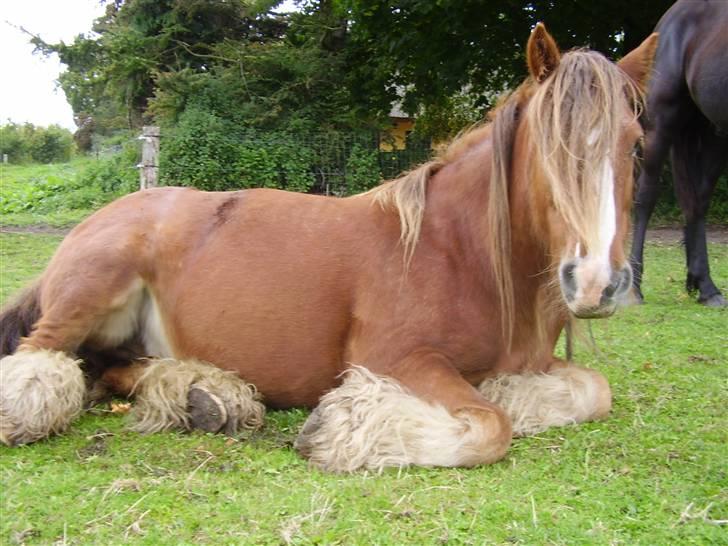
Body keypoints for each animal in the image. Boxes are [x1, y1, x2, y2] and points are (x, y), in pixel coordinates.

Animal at [0, 25, 656, 470]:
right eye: (549, 147)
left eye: (636, 145)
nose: (595, 283)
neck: (459, 250)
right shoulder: (398, 358)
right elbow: (491, 428)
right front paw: (342, 427)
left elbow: (594, 390)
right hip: (91, 289)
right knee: (46, 358)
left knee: (106, 370)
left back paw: (205, 398)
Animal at [632, 0, 728, 306]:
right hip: (662, 125)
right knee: (646, 197)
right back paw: (634, 288)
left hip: (713, 133)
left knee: (696, 202)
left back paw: (705, 286)